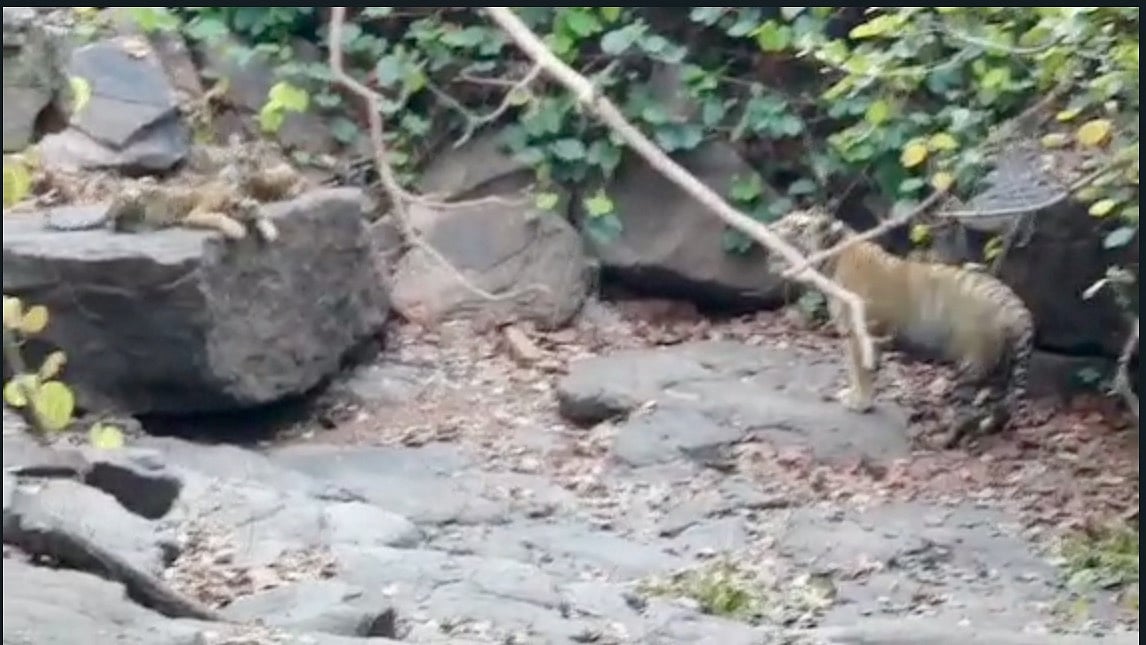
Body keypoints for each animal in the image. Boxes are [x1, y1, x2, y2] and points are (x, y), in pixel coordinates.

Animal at [768, 207, 1035, 447]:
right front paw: (856, 396)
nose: (770, 229)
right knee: (1001, 406)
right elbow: (860, 370)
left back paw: (943, 438)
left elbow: (859, 371)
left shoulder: (858, 336)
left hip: (973, 365)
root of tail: (1017, 308)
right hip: (1000, 369)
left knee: (967, 411)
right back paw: (988, 427)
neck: (832, 259)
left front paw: (859, 403)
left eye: (795, 226)